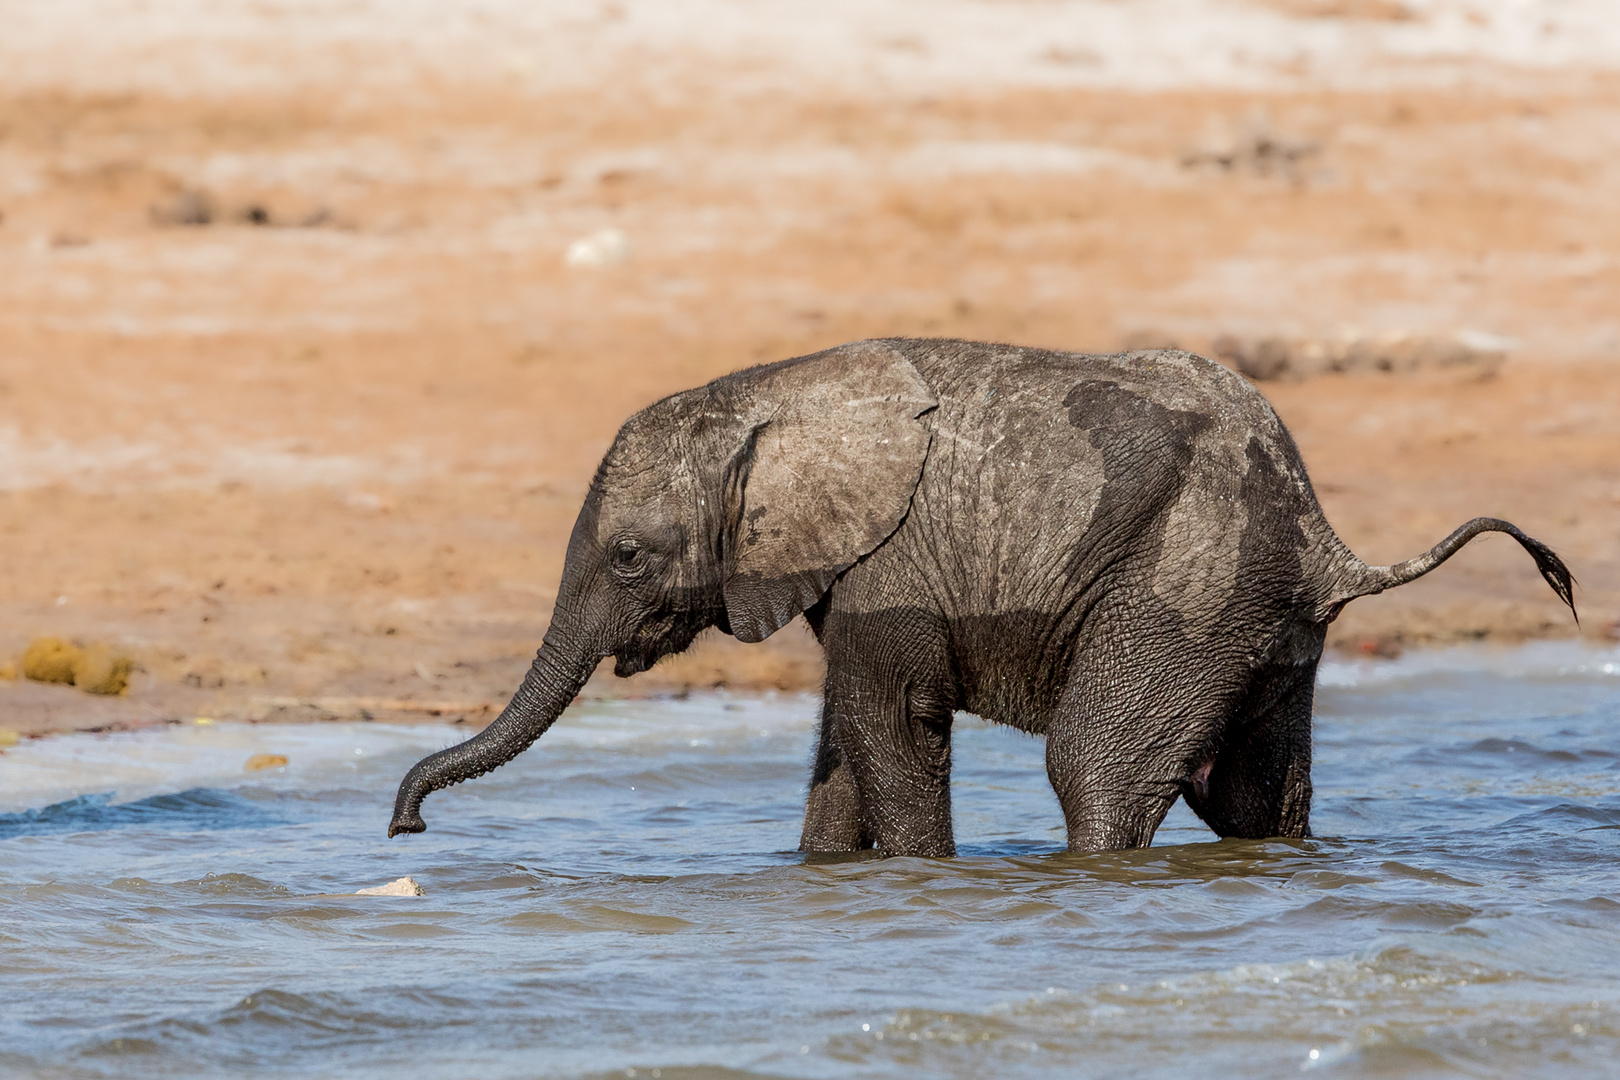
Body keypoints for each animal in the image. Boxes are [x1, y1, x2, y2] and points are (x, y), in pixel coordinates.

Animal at [385, 338, 1574, 854]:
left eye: (630, 557)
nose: (404, 825)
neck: (764, 393)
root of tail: (1328, 539)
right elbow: (842, 741)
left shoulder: (892, 566)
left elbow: (890, 726)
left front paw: (920, 885)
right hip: (1253, 616)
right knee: (1252, 798)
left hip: (1184, 592)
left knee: (1095, 771)